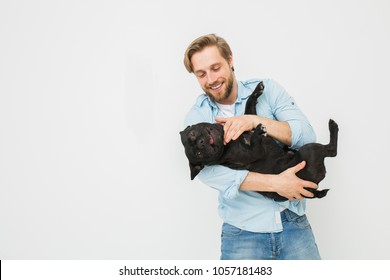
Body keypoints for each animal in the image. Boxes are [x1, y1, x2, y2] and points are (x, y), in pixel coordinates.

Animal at [181, 81, 338, 201]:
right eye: (199, 154)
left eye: (193, 134)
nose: (201, 143)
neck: (228, 143)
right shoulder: (255, 153)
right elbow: (256, 142)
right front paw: (258, 131)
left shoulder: (249, 117)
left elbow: (249, 108)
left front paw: (257, 90)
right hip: (311, 149)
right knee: (332, 151)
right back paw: (333, 127)